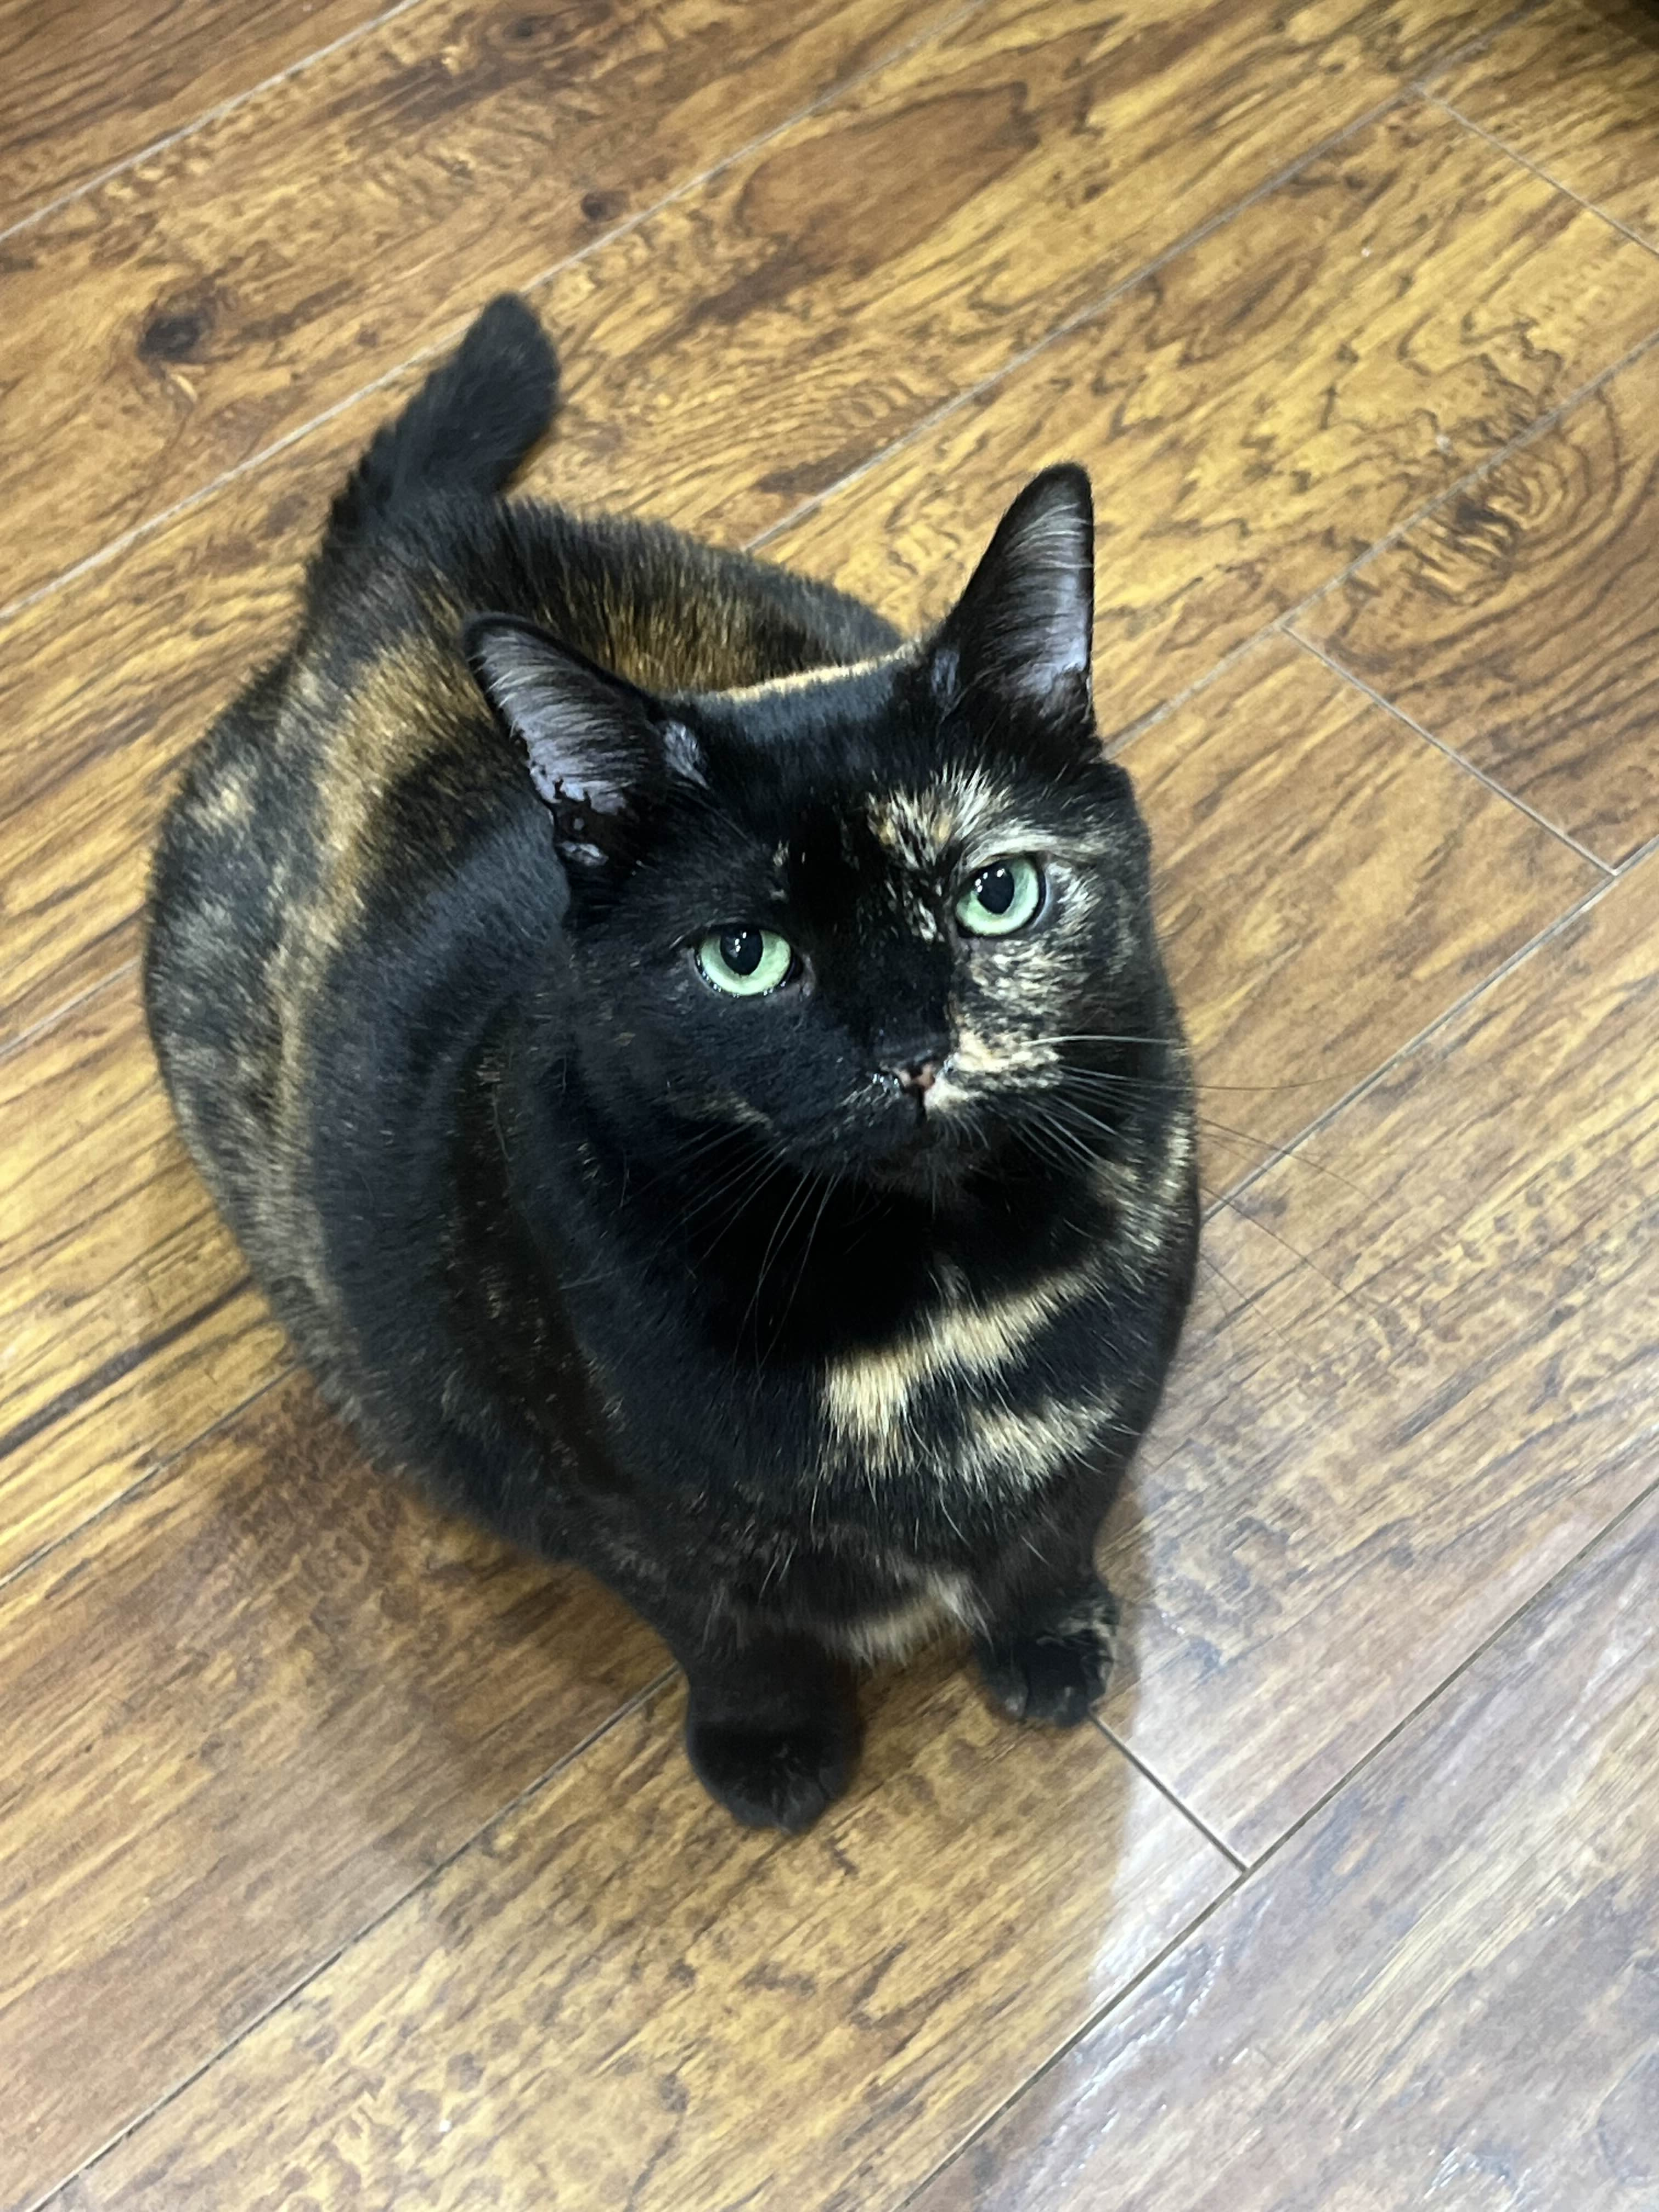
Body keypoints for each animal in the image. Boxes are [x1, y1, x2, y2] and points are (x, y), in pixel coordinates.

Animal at [144, 294, 1199, 1832]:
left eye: (995, 893)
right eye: (744, 958)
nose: (911, 1051)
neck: (932, 1309)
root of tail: (412, 554)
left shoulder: (1116, 1390)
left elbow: (1056, 1525)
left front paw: (1053, 1644)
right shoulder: (623, 1513)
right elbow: (725, 1629)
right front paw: (775, 1754)